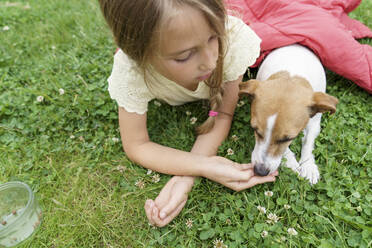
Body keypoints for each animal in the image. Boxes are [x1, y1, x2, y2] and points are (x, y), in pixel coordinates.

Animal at [240, 44, 338, 184]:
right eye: (255, 130)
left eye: (287, 139)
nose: (260, 171)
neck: (291, 75)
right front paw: (291, 162)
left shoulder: (314, 122)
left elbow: (308, 140)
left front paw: (308, 165)